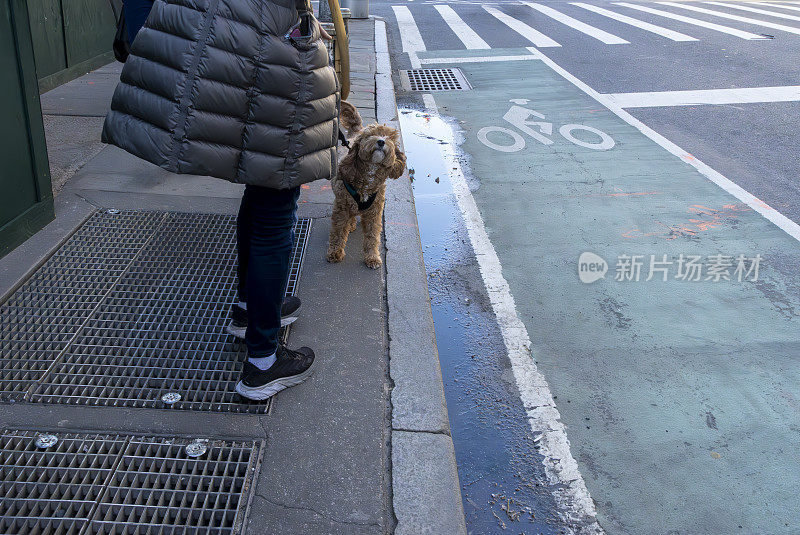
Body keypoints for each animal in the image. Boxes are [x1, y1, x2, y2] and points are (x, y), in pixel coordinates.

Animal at [326, 124, 406, 270]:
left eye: (389, 137)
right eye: (370, 135)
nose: (381, 141)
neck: (369, 174)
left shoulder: (374, 212)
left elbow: (372, 236)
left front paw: (372, 257)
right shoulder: (341, 209)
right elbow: (338, 232)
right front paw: (335, 252)